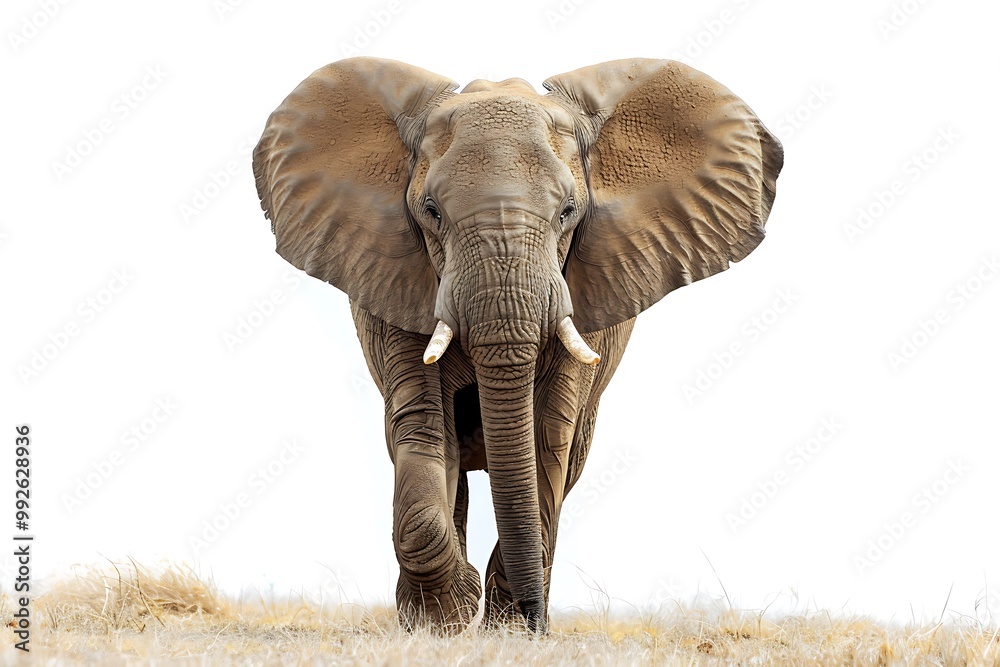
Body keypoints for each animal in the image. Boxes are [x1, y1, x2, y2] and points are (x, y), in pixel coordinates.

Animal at [252, 56, 782, 633]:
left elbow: (547, 438)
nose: (536, 622)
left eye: (568, 211)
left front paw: (508, 629)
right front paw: (442, 622)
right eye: (431, 211)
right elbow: (423, 428)